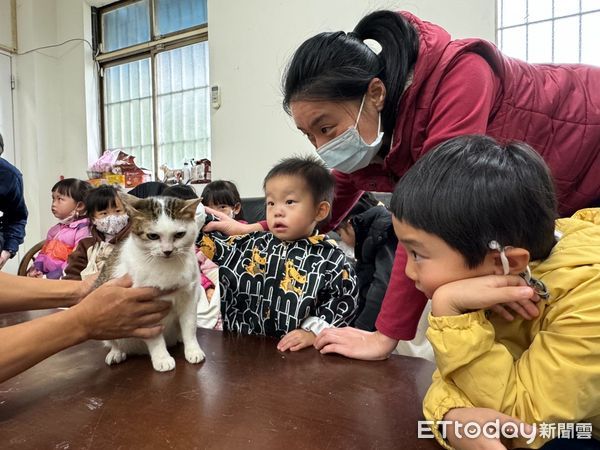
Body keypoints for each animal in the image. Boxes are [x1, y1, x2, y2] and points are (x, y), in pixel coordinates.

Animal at [96, 194, 204, 372]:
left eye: (179, 235)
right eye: (153, 236)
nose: (168, 251)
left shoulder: (189, 296)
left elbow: (190, 326)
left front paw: (193, 350)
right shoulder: (143, 308)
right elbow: (154, 336)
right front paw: (162, 358)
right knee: (114, 342)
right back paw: (116, 352)